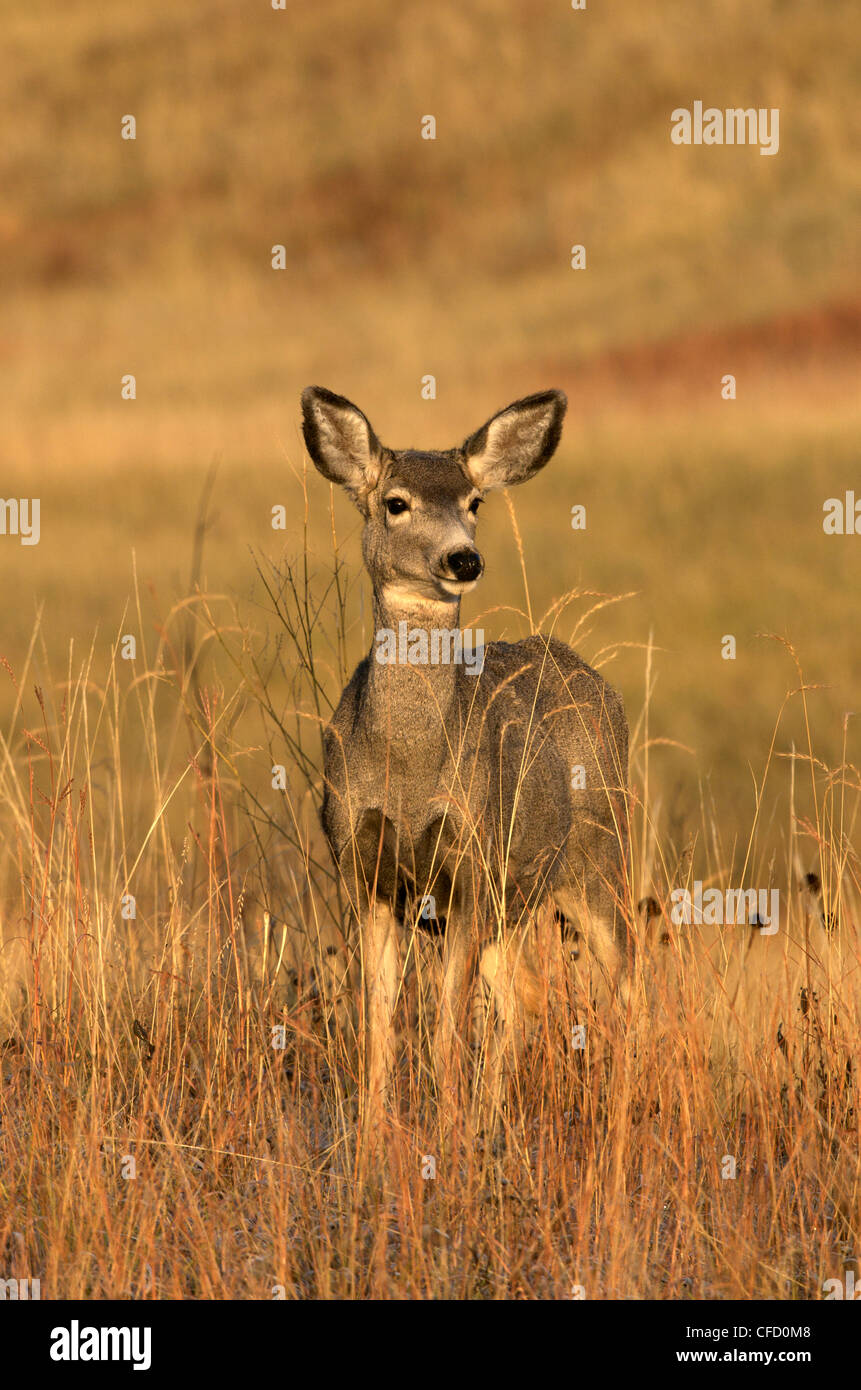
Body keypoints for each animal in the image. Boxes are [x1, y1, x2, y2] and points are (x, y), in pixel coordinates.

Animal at [300, 386, 628, 1134]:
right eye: (396, 502)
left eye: (474, 501)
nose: (463, 559)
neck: (409, 768)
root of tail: (590, 675)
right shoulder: (362, 867)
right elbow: (381, 1018)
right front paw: (373, 1137)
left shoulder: (471, 864)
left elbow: (448, 1020)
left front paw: (442, 1136)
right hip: (519, 900)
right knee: (524, 998)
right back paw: (488, 1121)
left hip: (599, 852)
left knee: (627, 981)